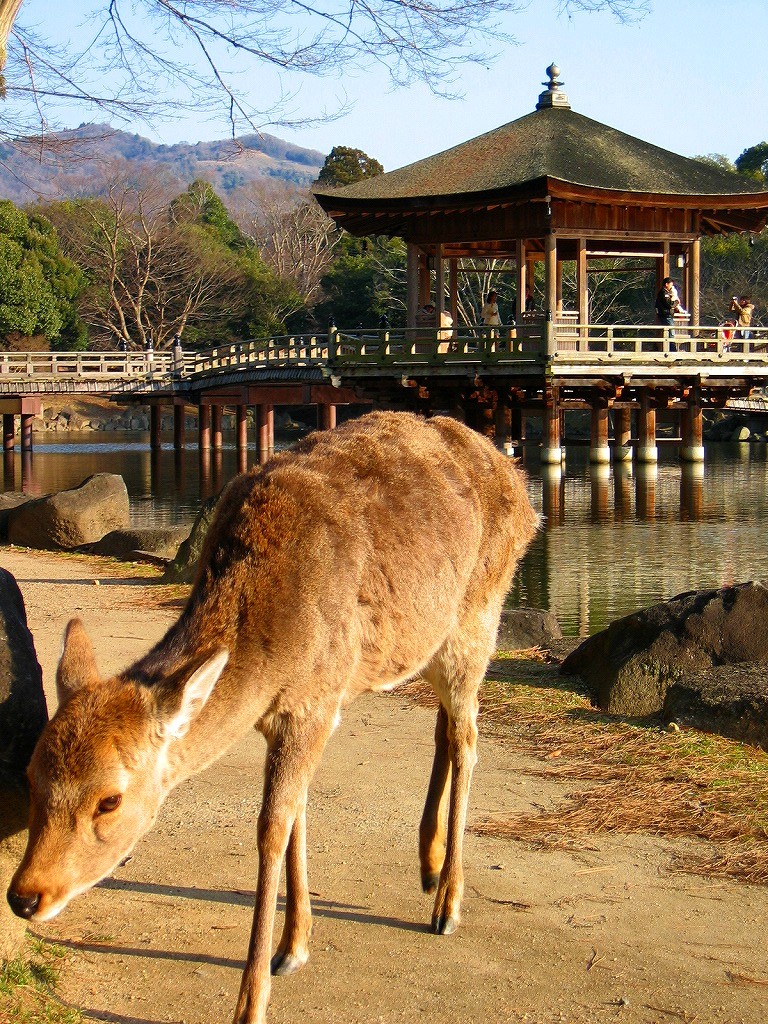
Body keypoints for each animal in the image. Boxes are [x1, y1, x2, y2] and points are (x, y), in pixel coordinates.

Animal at [7, 409, 536, 1024]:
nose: (24, 895)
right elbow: (297, 813)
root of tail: (519, 483)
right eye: (31, 776)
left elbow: (270, 829)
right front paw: (294, 946)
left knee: (470, 738)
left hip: (478, 619)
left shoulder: (314, 704)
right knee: (446, 727)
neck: (274, 647)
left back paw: (448, 902)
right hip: (429, 641)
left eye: (109, 800)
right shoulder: (291, 713)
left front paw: (252, 1000)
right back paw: (426, 865)